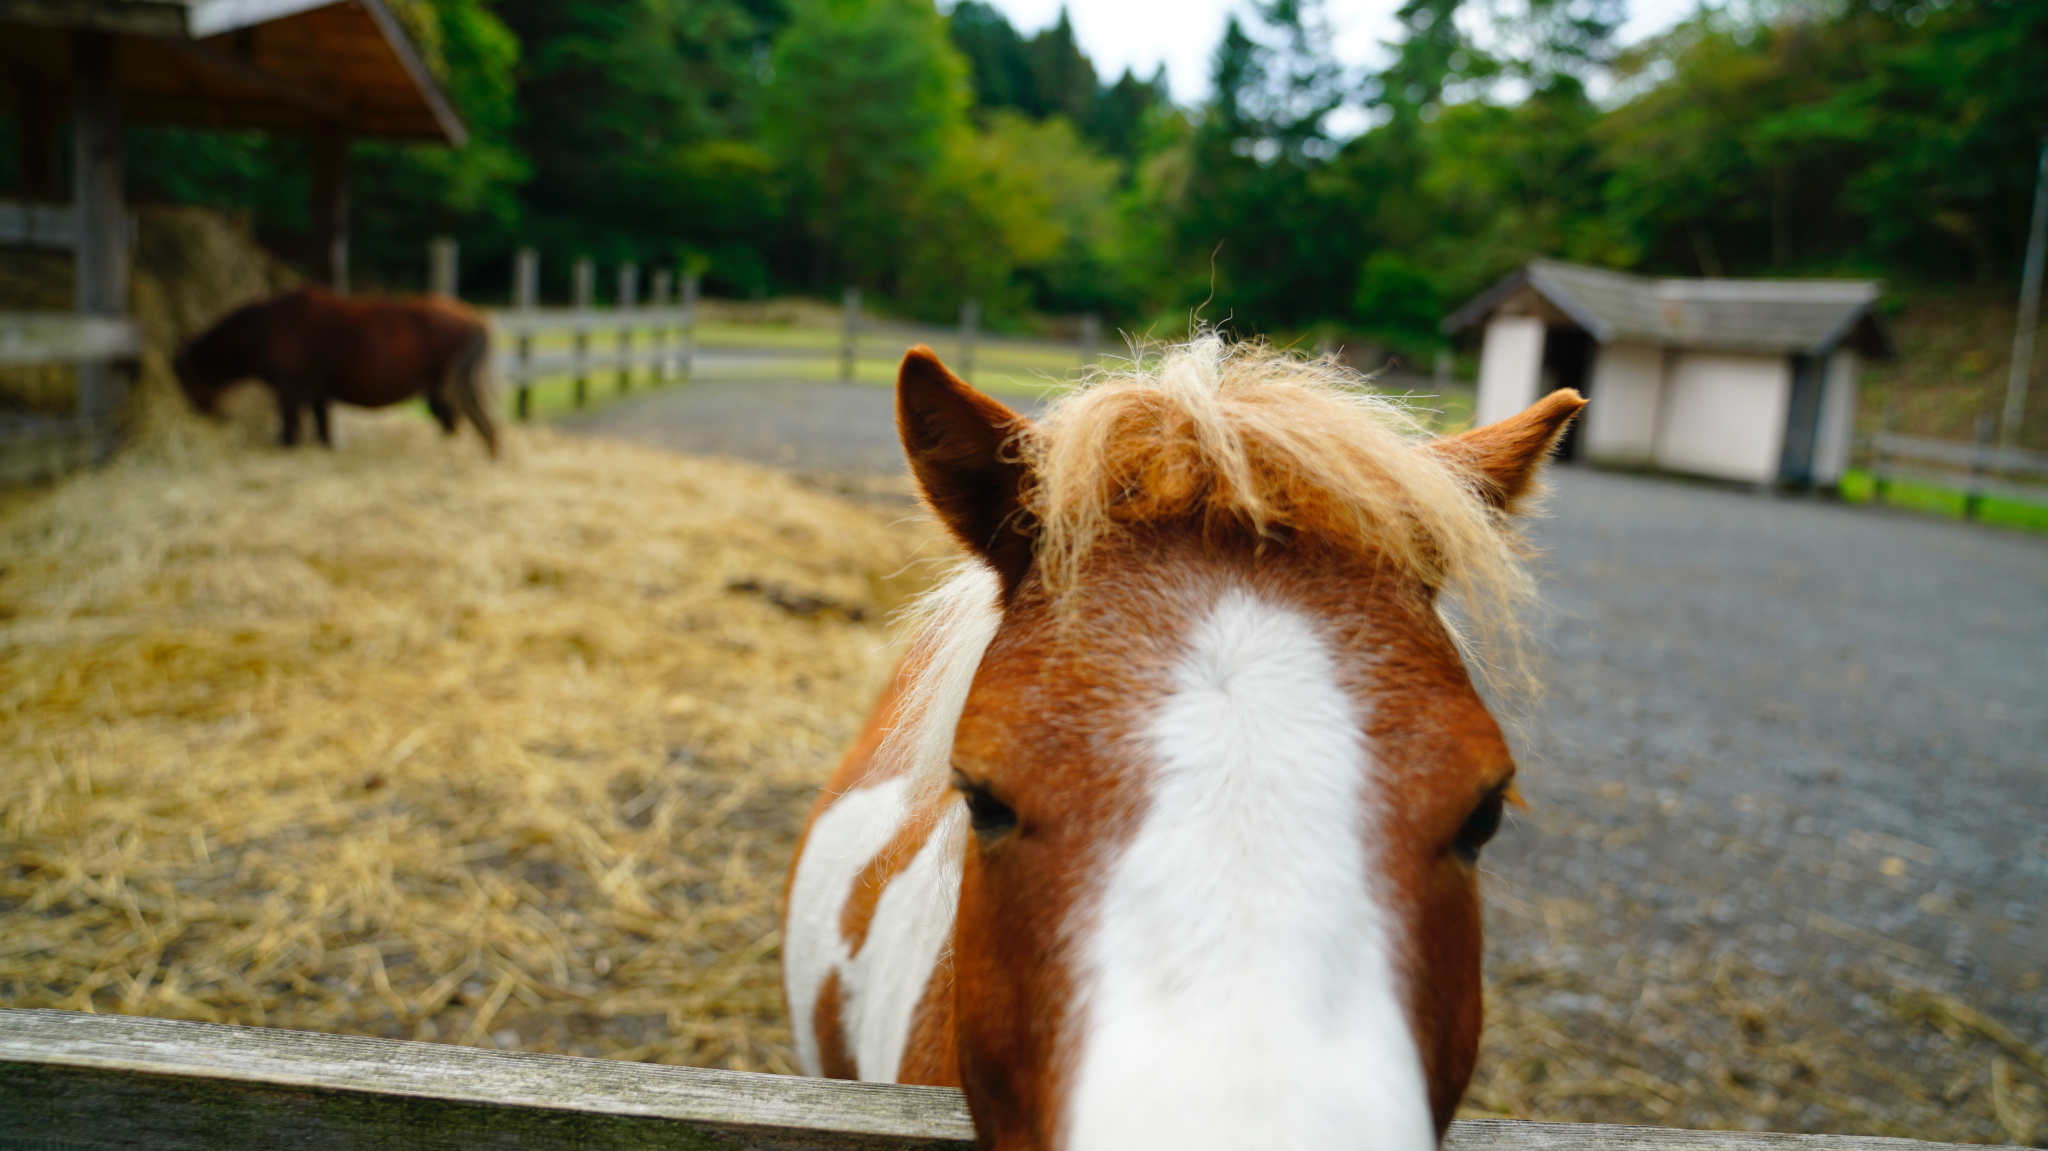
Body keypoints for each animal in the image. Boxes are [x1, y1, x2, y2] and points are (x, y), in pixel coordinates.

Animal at [173, 284, 499, 454]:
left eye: (185, 380)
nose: (206, 415)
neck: (263, 329)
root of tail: (469, 316)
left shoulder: (289, 390)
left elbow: (290, 428)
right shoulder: (315, 392)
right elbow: (322, 425)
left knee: (452, 421)